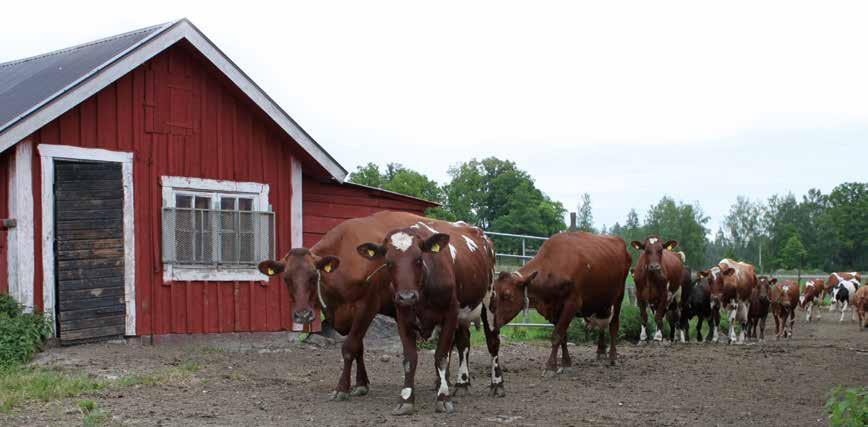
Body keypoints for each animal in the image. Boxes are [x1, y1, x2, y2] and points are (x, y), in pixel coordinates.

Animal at [356, 221, 498, 414]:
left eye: (418, 259)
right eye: (388, 263)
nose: (407, 296)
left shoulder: (450, 314)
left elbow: (441, 357)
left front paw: (443, 397)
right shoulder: (402, 318)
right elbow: (410, 359)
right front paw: (406, 398)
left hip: (489, 299)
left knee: (492, 341)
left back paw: (497, 385)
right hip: (463, 315)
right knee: (464, 343)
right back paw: (462, 383)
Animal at [492, 231, 628, 374]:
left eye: (507, 295)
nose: (493, 323)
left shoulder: (572, 303)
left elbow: (557, 335)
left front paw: (551, 366)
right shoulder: (554, 308)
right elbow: (563, 336)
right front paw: (566, 362)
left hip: (619, 295)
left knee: (613, 325)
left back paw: (612, 356)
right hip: (601, 302)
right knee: (602, 324)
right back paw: (601, 351)